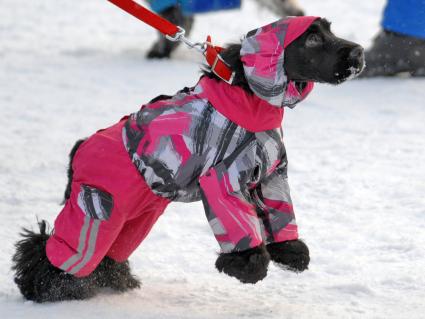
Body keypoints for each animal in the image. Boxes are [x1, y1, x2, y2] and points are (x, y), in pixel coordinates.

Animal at [11, 16, 362, 302]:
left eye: (330, 30)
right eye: (312, 38)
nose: (358, 53)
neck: (249, 101)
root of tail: (79, 149)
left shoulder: (273, 175)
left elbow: (279, 214)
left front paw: (291, 253)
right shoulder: (223, 178)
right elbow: (240, 224)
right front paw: (248, 266)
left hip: (134, 218)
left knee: (109, 253)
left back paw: (116, 281)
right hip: (98, 205)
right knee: (59, 249)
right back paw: (50, 289)